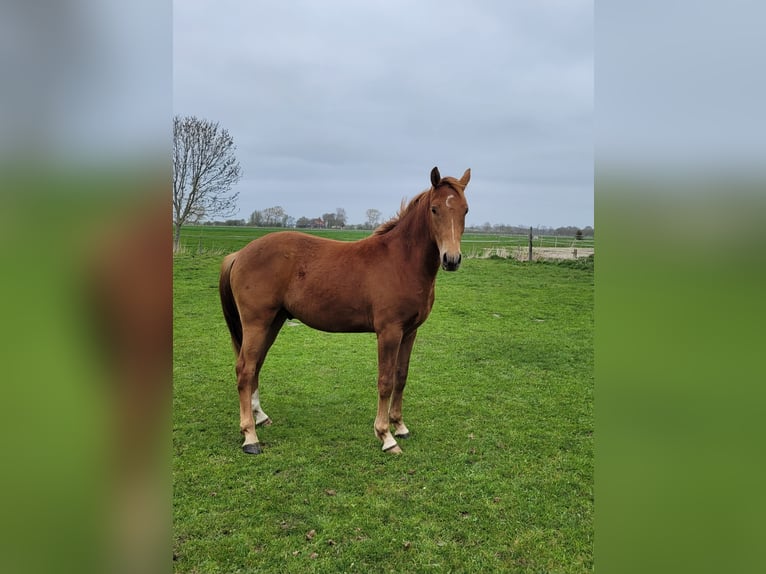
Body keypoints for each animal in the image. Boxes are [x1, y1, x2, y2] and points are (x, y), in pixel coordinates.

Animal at [219, 166, 471, 454]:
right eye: (434, 209)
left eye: (465, 210)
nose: (451, 259)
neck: (400, 261)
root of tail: (239, 254)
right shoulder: (389, 333)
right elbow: (385, 381)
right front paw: (386, 436)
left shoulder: (409, 332)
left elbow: (401, 377)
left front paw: (400, 426)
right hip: (256, 323)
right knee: (245, 370)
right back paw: (250, 436)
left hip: (273, 321)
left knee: (256, 365)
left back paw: (260, 417)